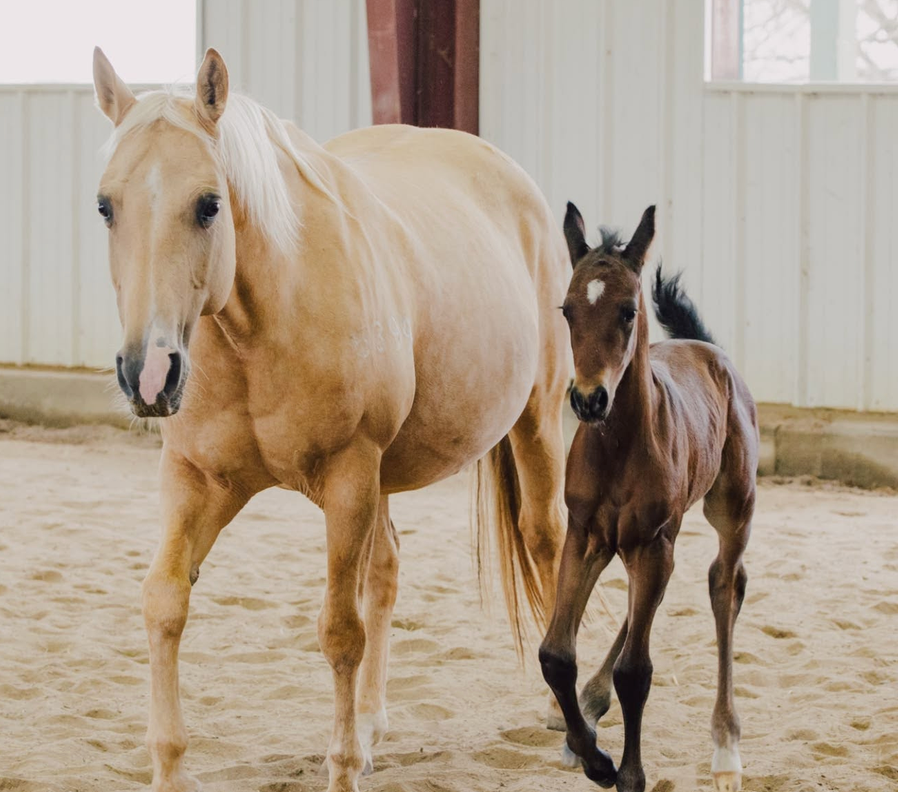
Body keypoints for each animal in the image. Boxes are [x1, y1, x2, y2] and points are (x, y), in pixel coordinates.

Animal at [92, 47, 570, 792]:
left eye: (208, 205)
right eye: (106, 205)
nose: (149, 373)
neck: (257, 328)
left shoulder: (349, 478)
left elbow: (341, 631)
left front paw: (341, 766)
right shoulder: (196, 479)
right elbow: (164, 601)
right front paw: (169, 765)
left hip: (535, 420)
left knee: (547, 538)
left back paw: (566, 711)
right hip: (385, 479)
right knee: (388, 570)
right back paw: (371, 724)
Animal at [539, 203, 758, 792]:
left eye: (628, 311)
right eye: (567, 310)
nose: (588, 400)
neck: (617, 445)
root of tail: (711, 350)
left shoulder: (651, 541)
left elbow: (637, 672)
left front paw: (628, 773)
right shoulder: (585, 535)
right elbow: (555, 655)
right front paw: (591, 754)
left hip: (731, 508)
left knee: (724, 583)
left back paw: (726, 746)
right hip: (651, 537)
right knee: (652, 600)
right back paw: (591, 703)